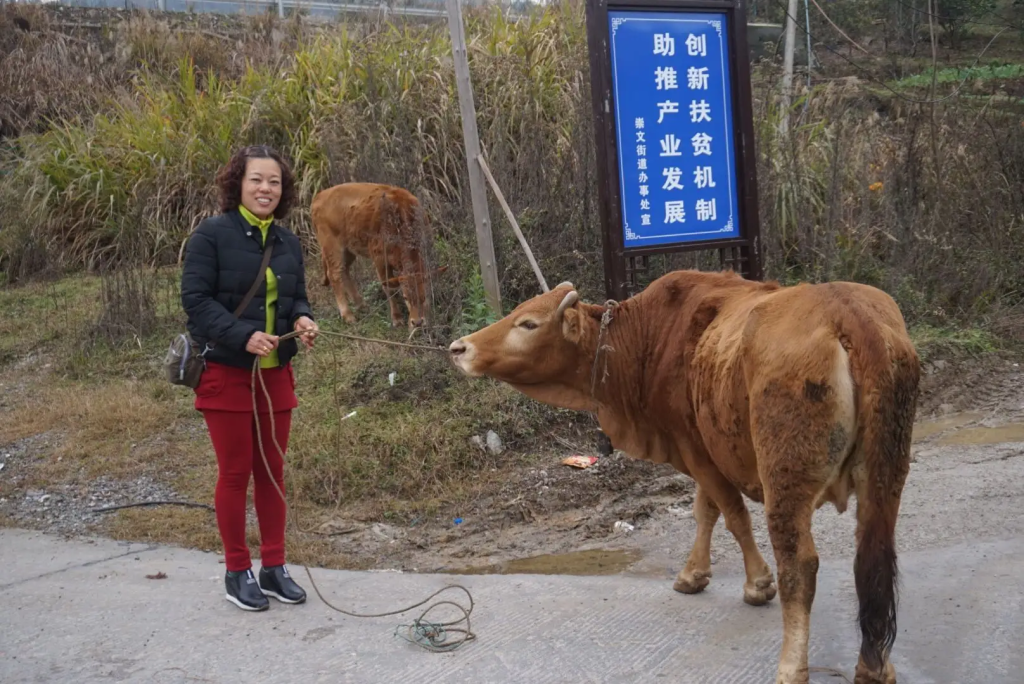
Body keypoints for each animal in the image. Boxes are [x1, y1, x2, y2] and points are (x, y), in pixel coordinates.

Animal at [307, 181, 428, 327]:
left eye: (423, 296)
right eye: (406, 297)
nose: (417, 322)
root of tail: (319, 196)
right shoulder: (379, 258)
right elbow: (389, 288)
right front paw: (397, 318)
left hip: (348, 249)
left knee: (344, 270)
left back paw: (362, 306)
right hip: (332, 247)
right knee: (334, 275)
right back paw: (348, 315)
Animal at [448, 268, 921, 684]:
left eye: (528, 323)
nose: (459, 348)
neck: (644, 340)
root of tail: (848, 314)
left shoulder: (696, 450)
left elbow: (730, 514)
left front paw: (757, 583)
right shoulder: (700, 450)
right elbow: (705, 512)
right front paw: (694, 573)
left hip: (785, 478)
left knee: (801, 568)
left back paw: (792, 666)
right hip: (886, 476)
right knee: (874, 560)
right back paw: (875, 667)